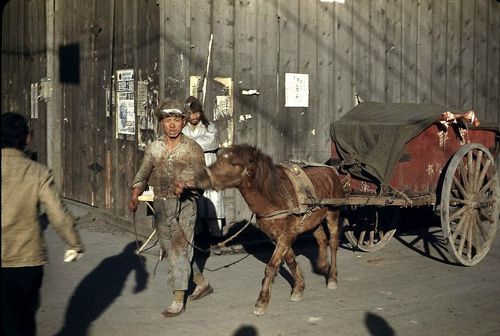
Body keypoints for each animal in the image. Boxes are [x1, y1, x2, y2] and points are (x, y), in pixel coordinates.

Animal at [195, 144, 344, 316]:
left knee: (333, 243)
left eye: (233, 163)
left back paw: (332, 277)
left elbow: (271, 267)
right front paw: (299, 288)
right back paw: (322, 265)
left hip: (333, 212)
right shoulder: (278, 236)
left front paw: (262, 301)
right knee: (321, 239)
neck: (275, 198)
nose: (201, 177)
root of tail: (331, 170)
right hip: (314, 218)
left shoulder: (286, 236)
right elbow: (290, 261)